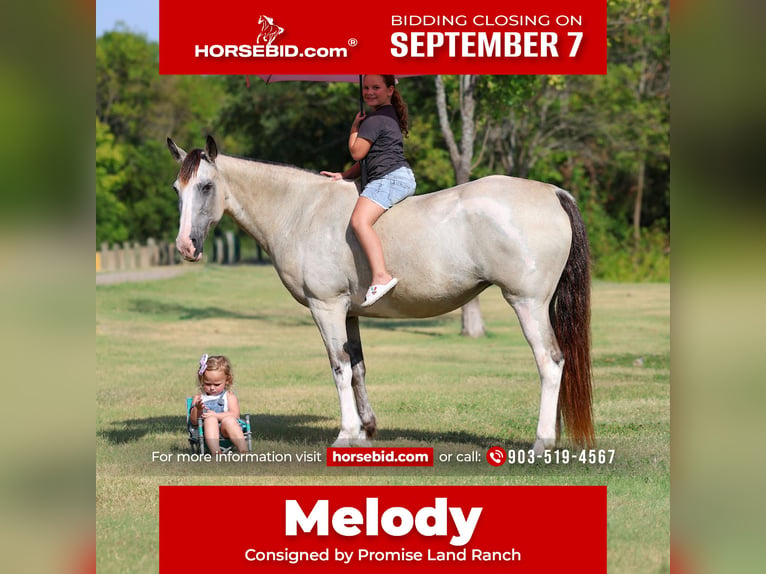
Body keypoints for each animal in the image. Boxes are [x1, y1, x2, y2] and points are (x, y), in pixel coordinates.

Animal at [166, 136, 594, 453]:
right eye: (177, 188)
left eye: (206, 186)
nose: (186, 246)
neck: (301, 210)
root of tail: (553, 192)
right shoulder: (349, 313)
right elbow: (357, 368)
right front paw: (366, 429)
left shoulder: (326, 307)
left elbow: (338, 367)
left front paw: (346, 433)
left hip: (527, 304)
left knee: (551, 363)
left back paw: (542, 441)